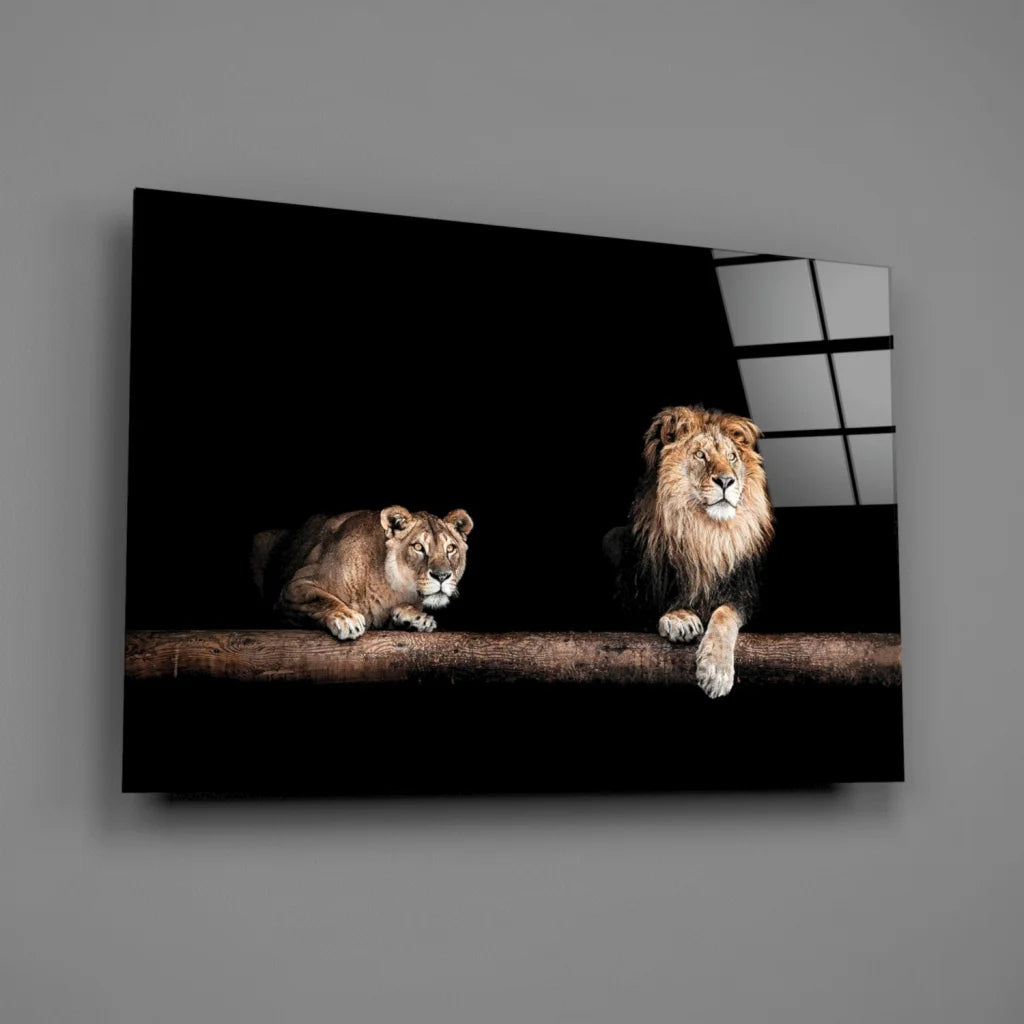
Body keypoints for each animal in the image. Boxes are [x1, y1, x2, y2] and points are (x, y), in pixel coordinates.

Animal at [251, 506, 474, 640]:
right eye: (418, 547)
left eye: (451, 549)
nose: (442, 576)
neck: (391, 587)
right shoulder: (295, 586)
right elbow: (321, 598)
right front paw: (346, 618)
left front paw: (416, 619)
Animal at [605, 406, 773, 698]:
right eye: (700, 455)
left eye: (732, 456)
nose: (726, 480)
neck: (703, 533)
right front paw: (680, 618)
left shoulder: (744, 593)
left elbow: (725, 614)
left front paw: (716, 672)